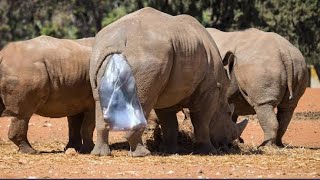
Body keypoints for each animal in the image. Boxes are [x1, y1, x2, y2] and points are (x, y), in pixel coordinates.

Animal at [89, 7, 248, 156]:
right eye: (228, 113)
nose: (229, 145)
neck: (221, 95)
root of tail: (119, 39)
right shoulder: (209, 90)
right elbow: (201, 121)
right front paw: (209, 151)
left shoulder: (168, 92)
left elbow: (170, 123)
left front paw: (172, 150)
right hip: (147, 55)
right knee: (142, 101)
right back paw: (142, 154)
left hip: (100, 52)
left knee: (98, 100)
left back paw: (101, 154)